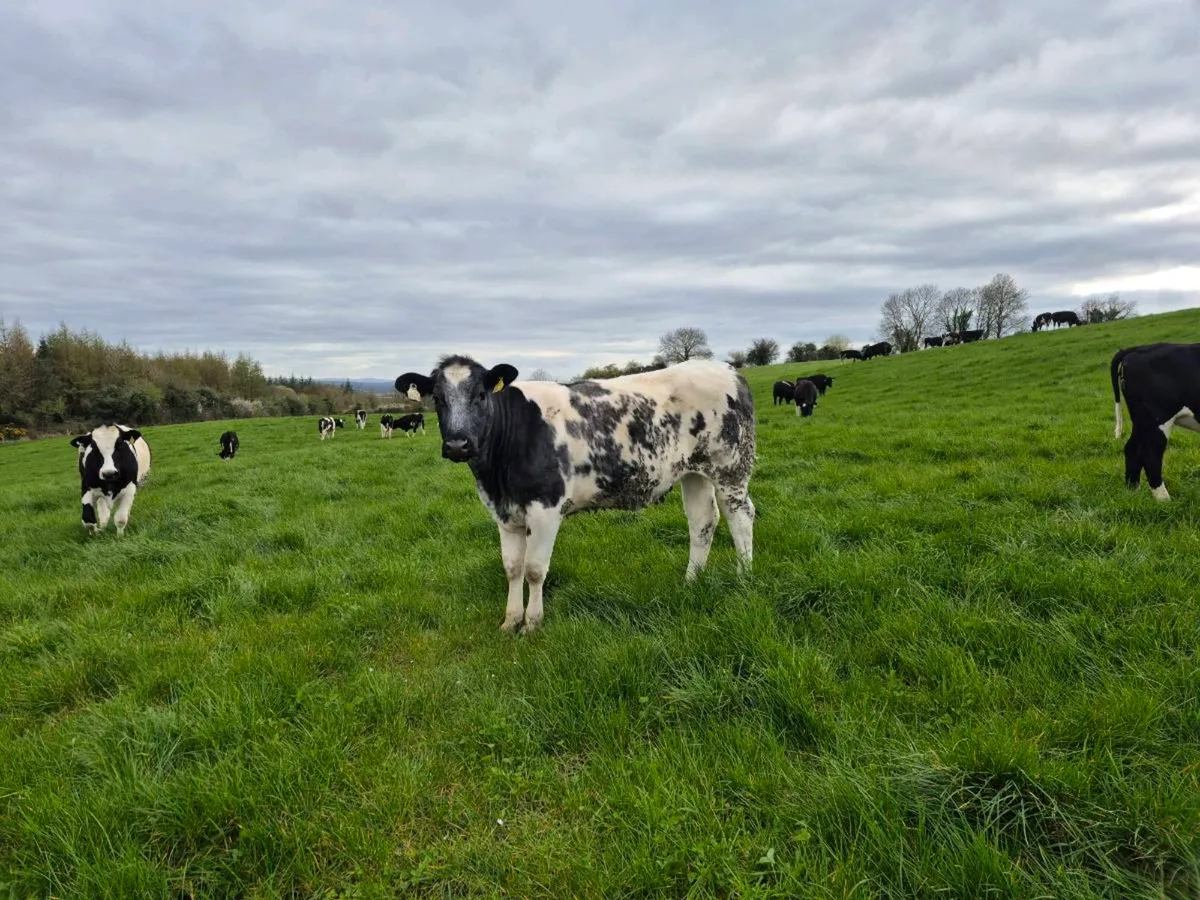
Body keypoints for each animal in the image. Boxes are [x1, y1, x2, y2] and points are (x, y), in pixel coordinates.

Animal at [395, 356, 756, 634]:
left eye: (482, 394)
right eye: (437, 398)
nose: (458, 444)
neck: (496, 475)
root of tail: (726, 369)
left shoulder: (546, 507)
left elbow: (534, 569)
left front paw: (532, 623)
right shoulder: (504, 513)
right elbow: (512, 568)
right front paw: (510, 621)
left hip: (730, 467)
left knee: (741, 516)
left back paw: (744, 578)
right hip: (694, 472)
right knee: (702, 522)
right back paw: (692, 580)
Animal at [1111, 343, 1200, 501]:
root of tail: (1140, 348)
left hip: (1142, 422)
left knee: (1132, 449)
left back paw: (1133, 493)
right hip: (1156, 420)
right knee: (1150, 455)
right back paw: (1164, 500)